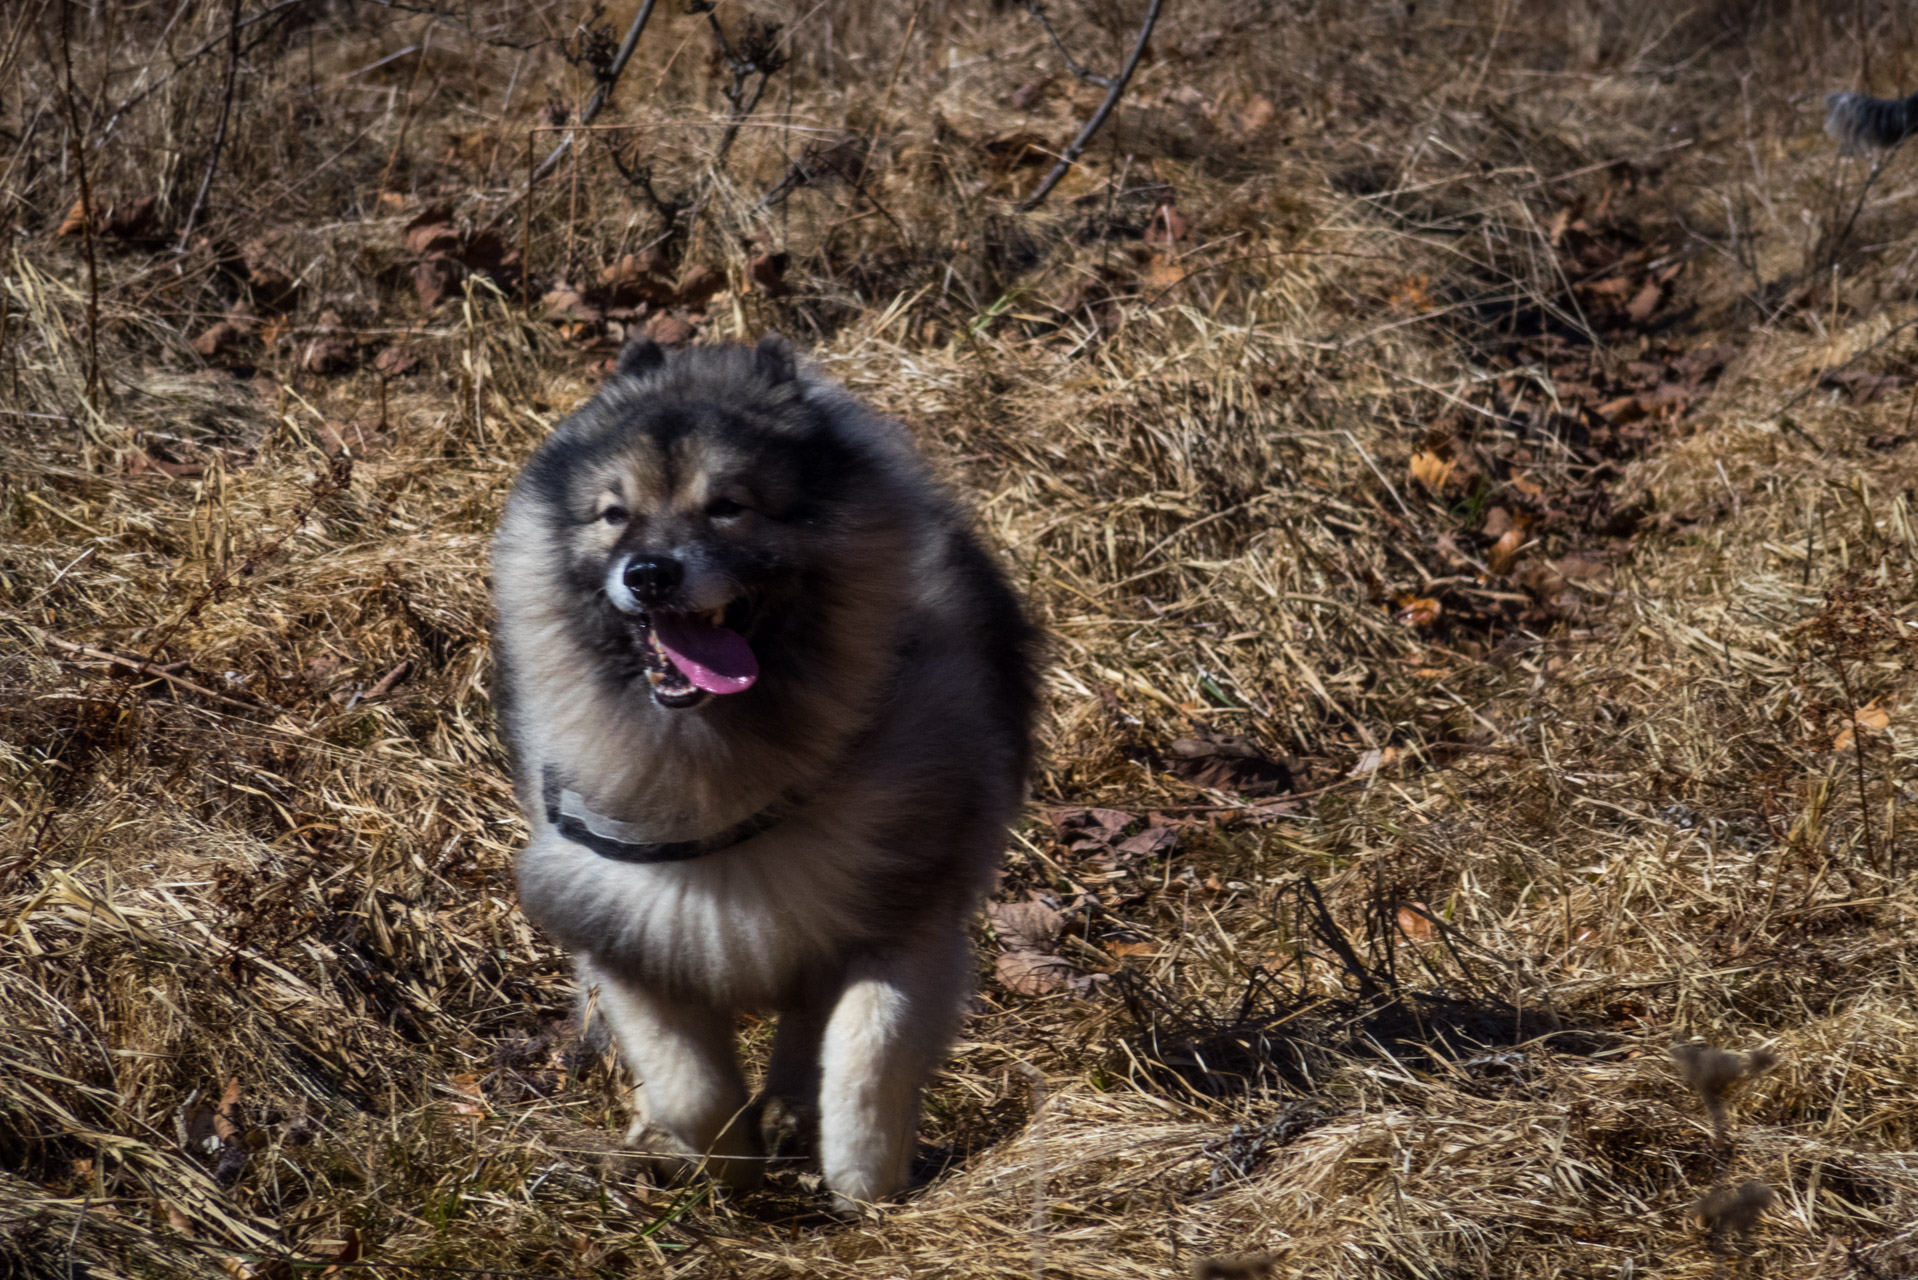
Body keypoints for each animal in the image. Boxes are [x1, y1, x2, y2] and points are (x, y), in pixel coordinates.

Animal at [491, 335, 1035, 1205]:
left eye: (728, 506)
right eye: (614, 514)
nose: (649, 572)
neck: (727, 762)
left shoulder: (901, 914)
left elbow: (868, 1052)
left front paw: (863, 1185)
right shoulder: (625, 936)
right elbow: (692, 1087)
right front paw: (725, 1169)